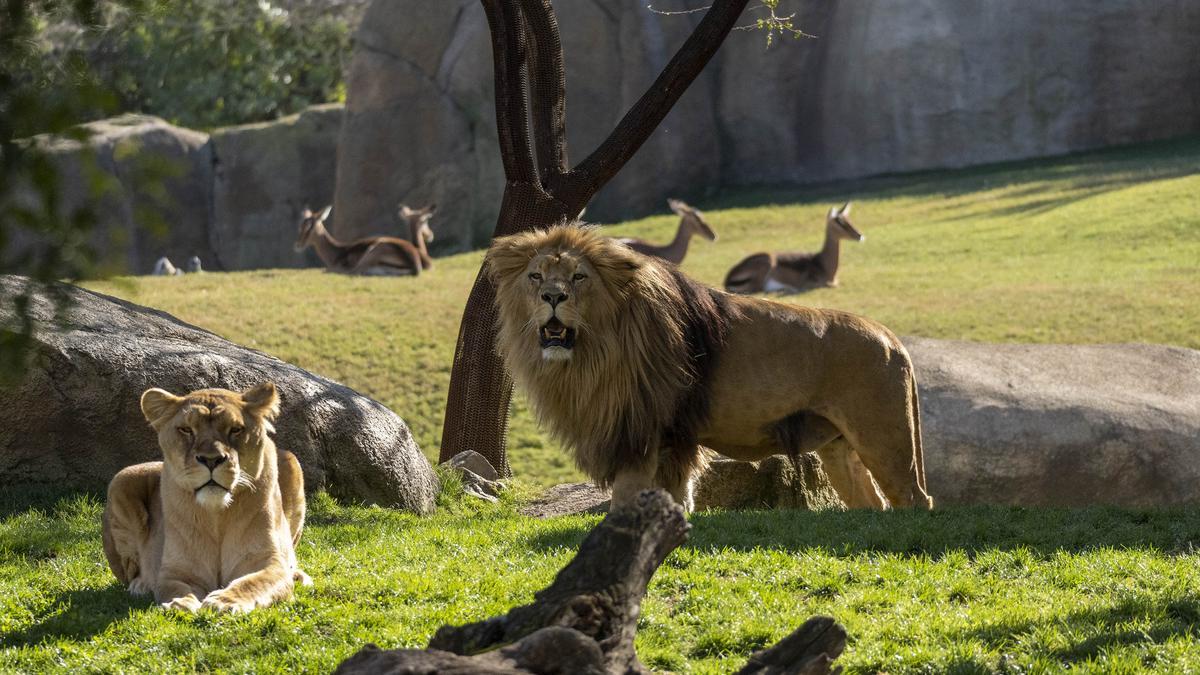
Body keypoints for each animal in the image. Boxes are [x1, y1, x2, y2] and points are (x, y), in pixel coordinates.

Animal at [102, 384, 309, 610]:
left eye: (235, 429)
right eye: (186, 429)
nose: (211, 460)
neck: (216, 515)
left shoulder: (268, 563)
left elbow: (251, 584)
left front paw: (224, 601)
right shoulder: (176, 571)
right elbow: (174, 587)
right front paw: (180, 604)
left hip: (291, 460)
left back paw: (299, 575)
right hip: (122, 478)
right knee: (130, 575)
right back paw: (140, 585)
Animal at [489, 222, 936, 509]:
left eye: (579, 277)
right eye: (535, 276)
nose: (552, 297)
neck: (593, 352)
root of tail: (893, 338)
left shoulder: (644, 433)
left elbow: (629, 499)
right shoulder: (666, 438)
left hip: (884, 438)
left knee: (915, 499)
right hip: (840, 448)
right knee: (873, 504)